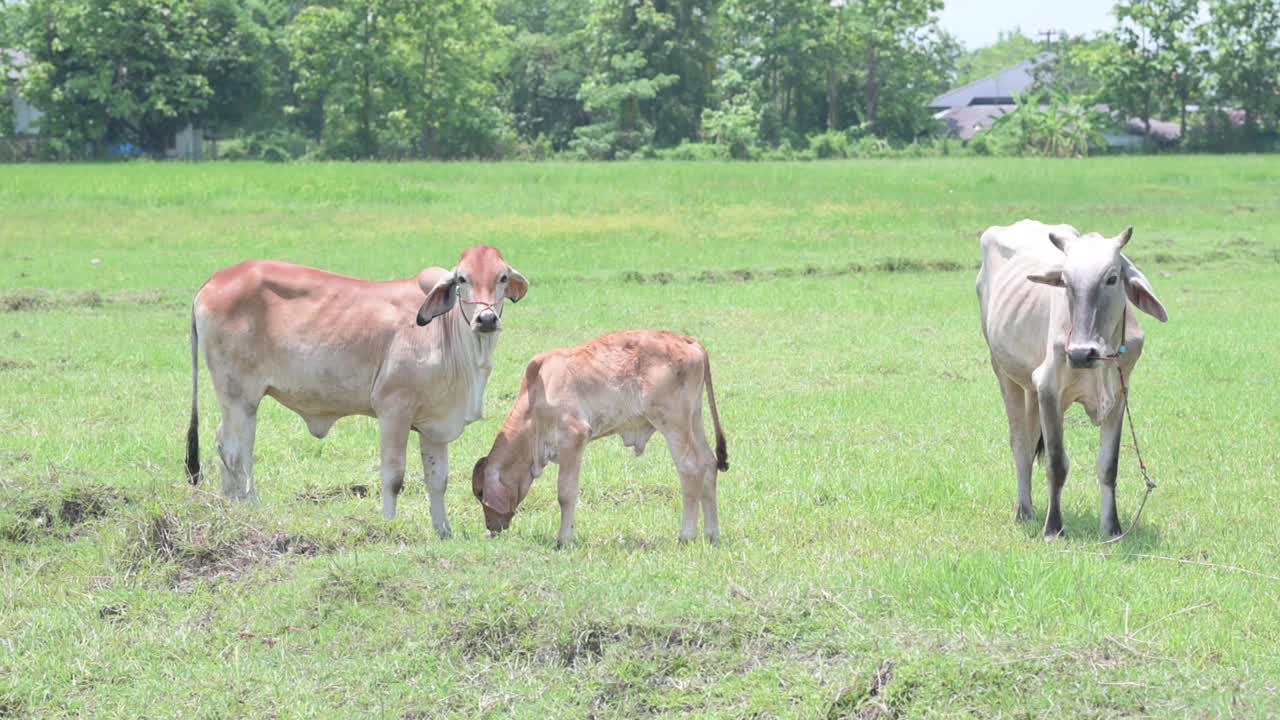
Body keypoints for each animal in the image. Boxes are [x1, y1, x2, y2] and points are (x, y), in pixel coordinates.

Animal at [186, 245, 527, 532]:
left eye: (502, 277)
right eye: (462, 279)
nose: (486, 318)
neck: (448, 335)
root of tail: (215, 279)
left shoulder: (436, 423)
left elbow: (437, 480)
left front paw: (443, 532)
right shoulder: (393, 410)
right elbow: (393, 476)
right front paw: (389, 525)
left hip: (239, 403)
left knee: (229, 446)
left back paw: (232, 508)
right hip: (239, 397)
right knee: (235, 452)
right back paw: (249, 508)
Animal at [471, 330, 732, 543]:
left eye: (481, 493)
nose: (491, 528)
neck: (535, 400)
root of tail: (688, 341)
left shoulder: (574, 438)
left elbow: (566, 493)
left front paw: (564, 539)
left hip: (673, 423)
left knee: (692, 468)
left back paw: (686, 536)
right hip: (694, 419)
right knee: (709, 464)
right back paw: (712, 535)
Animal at [977, 219, 1172, 538]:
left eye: (1112, 278)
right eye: (1066, 282)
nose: (1081, 353)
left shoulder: (1119, 395)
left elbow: (1108, 466)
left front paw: (1112, 528)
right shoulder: (1048, 387)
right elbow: (1057, 464)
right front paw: (1054, 528)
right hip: (1005, 372)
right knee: (1020, 443)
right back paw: (1024, 511)